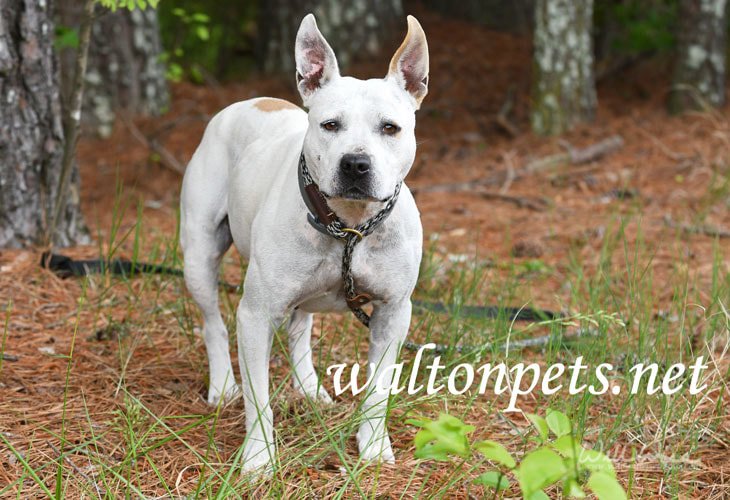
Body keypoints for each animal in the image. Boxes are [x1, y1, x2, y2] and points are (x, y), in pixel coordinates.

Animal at [179, 12, 426, 472]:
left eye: (390, 128)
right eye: (330, 125)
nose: (356, 163)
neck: (349, 228)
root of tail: (251, 101)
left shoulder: (393, 312)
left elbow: (378, 390)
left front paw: (373, 446)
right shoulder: (255, 315)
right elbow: (258, 397)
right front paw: (259, 458)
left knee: (300, 328)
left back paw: (309, 386)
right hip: (198, 256)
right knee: (212, 324)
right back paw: (222, 385)